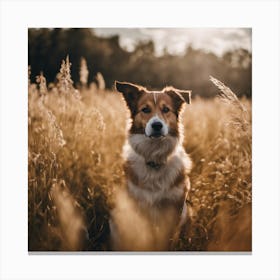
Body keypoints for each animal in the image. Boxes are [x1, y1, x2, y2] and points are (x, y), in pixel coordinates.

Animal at [110, 81, 194, 252]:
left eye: (166, 109)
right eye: (145, 109)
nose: (157, 125)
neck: (155, 160)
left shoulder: (174, 208)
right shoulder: (137, 204)